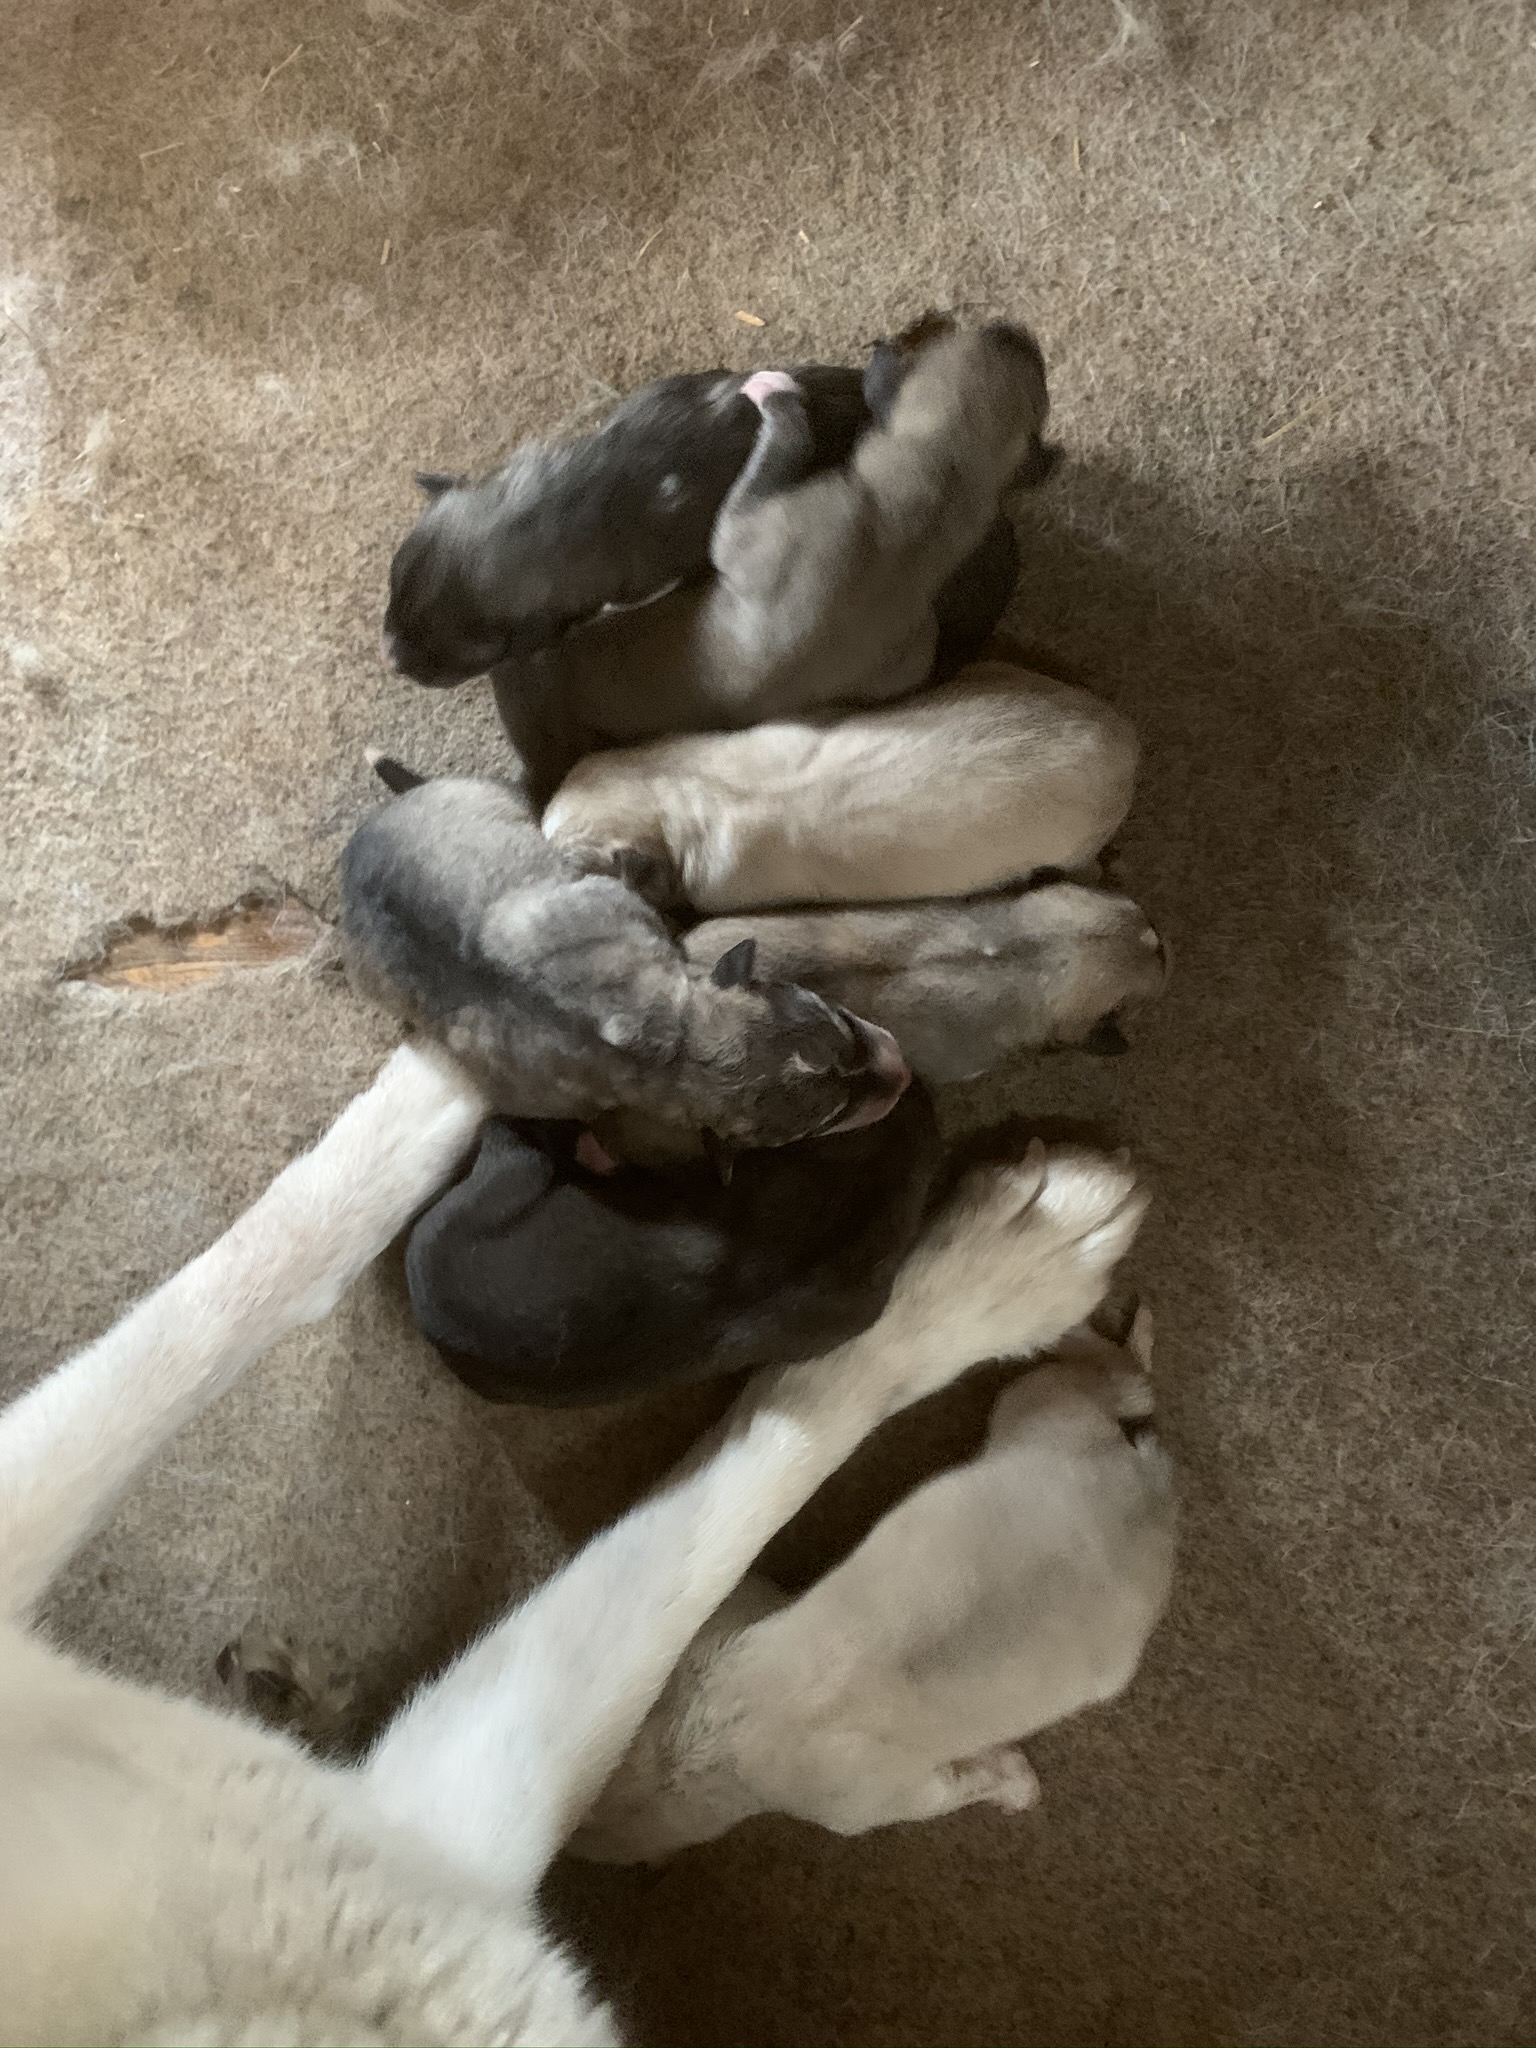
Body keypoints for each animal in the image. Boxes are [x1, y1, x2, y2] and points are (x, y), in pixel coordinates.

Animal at [339, 762, 910, 1155]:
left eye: (838, 1020)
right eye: (829, 1119)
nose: (902, 1072)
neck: (674, 1045)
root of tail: (351, 854)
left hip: (484, 796)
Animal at [490, 316, 1054, 746]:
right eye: (1041, 394)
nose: (1017, 330)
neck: (932, 504)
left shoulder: (744, 525)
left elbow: (777, 450)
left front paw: (774, 395)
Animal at [572, 1308, 1175, 1861]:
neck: (698, 1742)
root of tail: (1146, 1486)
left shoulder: (879, 1804)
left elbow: (966, 1785)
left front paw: (1016, 1786)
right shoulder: (739, 1613)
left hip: (1040, 1421)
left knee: (1126, 1384)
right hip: (1050, 1420)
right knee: (1128, 1391)